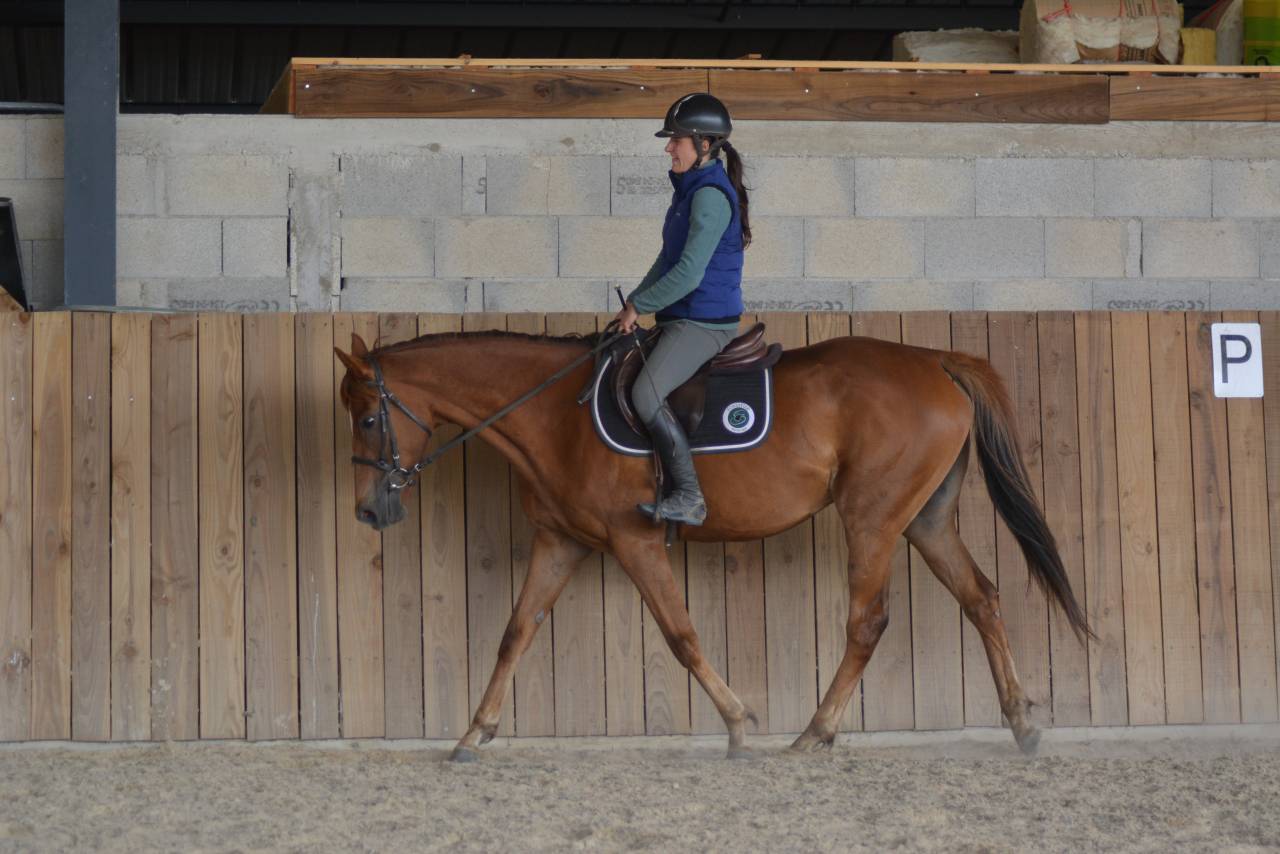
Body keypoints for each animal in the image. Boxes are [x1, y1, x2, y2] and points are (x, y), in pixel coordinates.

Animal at [334, 324, 1091, 761]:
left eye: (369, 417)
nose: (368, 510)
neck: (553, 413)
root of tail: (935, 360)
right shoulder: (561, 541)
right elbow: (516, 631)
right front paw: (474, 733)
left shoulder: (634, 541)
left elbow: (680, 634)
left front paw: (737, 723)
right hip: (925, 519)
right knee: (982, 599)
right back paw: (1021, 725)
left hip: (872, 517)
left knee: (867, 621)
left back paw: (814, 733)